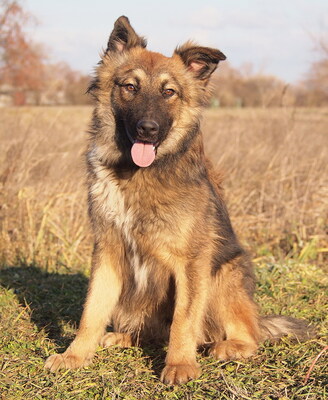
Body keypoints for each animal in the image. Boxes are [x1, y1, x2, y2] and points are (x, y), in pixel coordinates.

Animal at [44, 15, 312, 384]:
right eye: (130, 87)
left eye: (169, 92)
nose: (148, 129)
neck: (138, 173)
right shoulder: (108, 252)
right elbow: (92, 311)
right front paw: (75, 355)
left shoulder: (192, 262)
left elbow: (184, 320)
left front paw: (180, 364)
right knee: (150, 332)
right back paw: (123, 337)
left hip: (222, 274)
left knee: (247, 335)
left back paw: (227, 347)